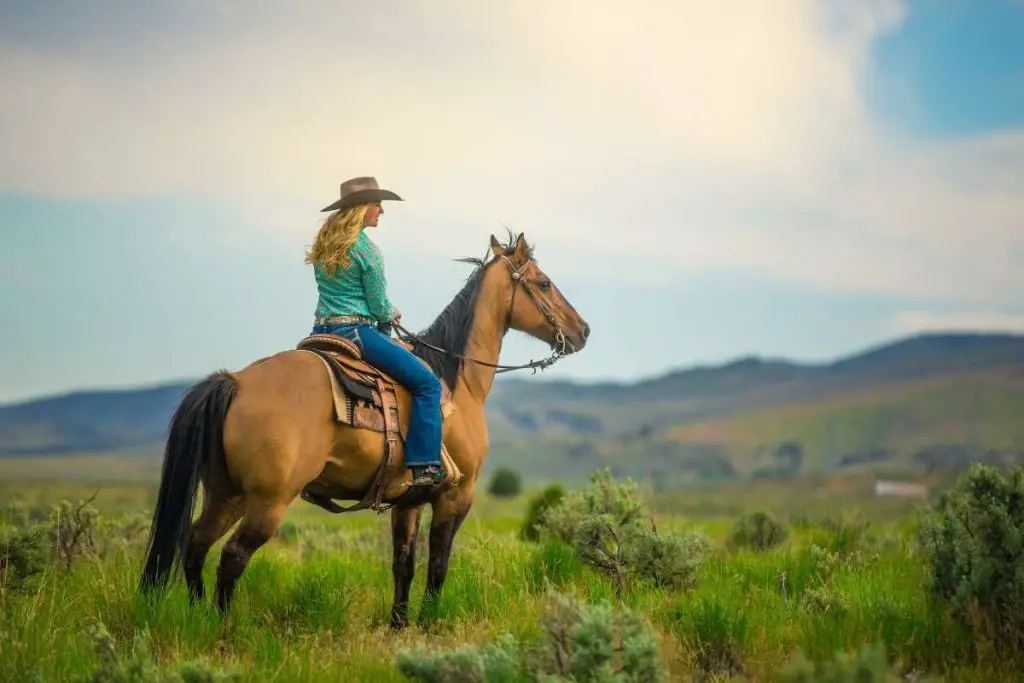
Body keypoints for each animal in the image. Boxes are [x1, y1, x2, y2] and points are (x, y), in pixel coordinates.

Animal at [134, 231, 593, 630]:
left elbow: (403, 564)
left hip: (226, 493)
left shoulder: (409, 501)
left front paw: (399, 625)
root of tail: (236, 382)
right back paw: (224, 629)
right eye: (545, 283)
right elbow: (438, 565)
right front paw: (428, 624)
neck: (455, 381)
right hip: (267, 501)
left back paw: (200, 619)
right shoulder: (455, 496)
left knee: (196, 546)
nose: (583, 331)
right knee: (231, 557)